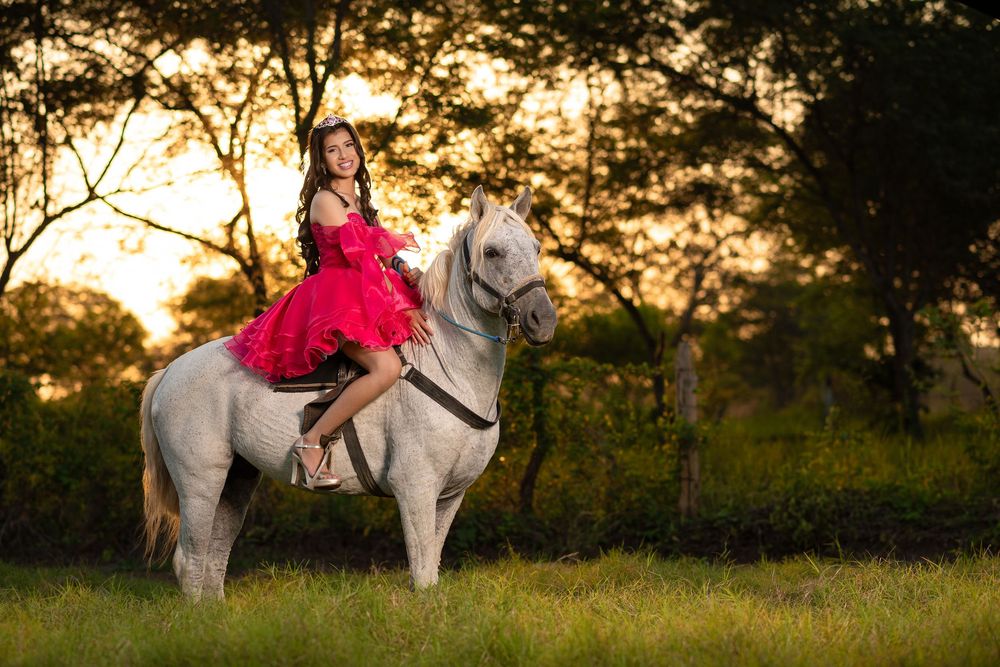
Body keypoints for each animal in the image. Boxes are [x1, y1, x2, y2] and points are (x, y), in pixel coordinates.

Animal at [139, 185, 557, 600]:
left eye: (536, 247)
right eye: (492, 252)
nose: (543, 320)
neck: (449, 367)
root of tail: (170, 371)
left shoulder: (451, 495)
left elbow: (431, 568)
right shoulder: (415, 488)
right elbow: (423, 576)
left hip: (237, 480)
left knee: (214, 557)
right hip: (200, 479)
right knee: (190, 560)